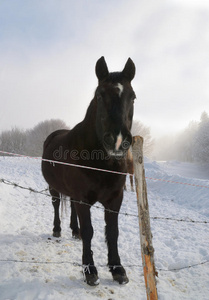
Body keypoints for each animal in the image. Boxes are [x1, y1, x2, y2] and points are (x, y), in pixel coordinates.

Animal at [41, 56, 136, 286]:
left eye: (133, 97)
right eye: (100, 95)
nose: (118, 140)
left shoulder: (114, 199)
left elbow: (113, 232)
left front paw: (117, 269)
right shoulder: (84, 200)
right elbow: (89, 231)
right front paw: (90, 270)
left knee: (72, 209)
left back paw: (73, 230)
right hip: (53, 188)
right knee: (56, 205)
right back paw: (57, 230)